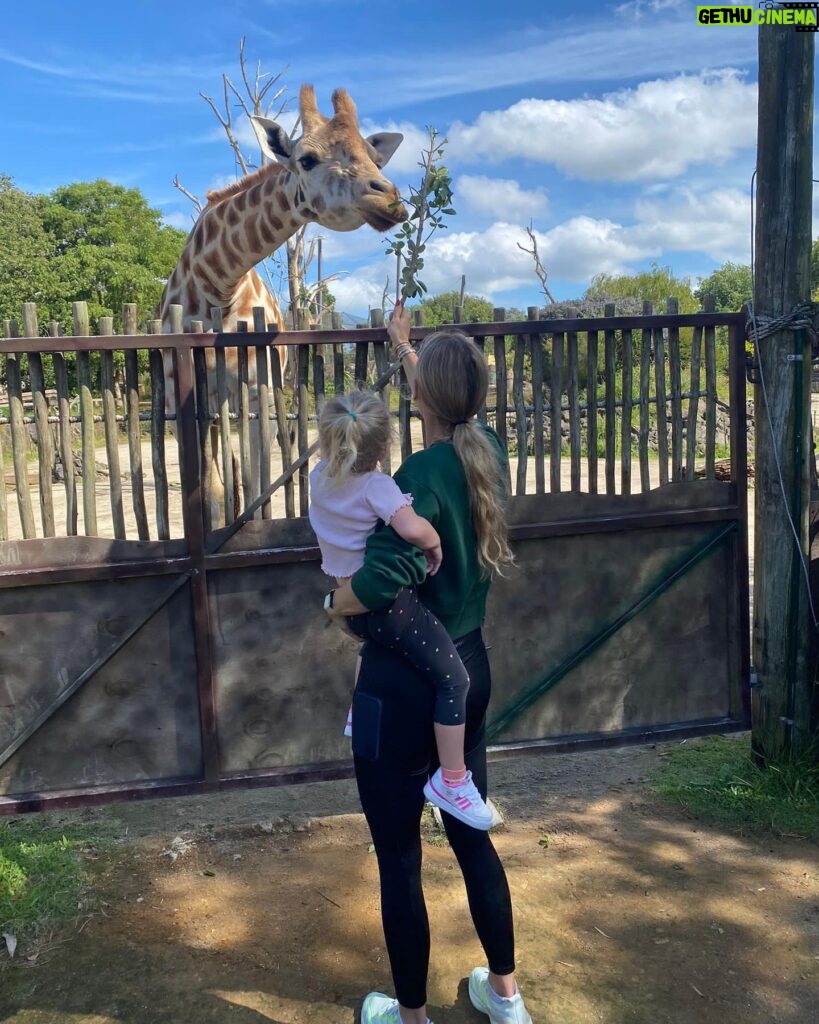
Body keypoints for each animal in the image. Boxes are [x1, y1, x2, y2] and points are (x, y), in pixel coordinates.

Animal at [158, 83, 405, 524]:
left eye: (375, 160)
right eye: (307, 159)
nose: (391, 199)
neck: (215, 284)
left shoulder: (260, 395)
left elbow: (256, 485)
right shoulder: (180, 403)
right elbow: (211, 495)